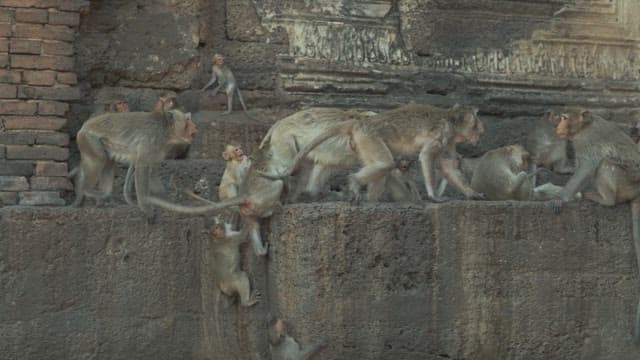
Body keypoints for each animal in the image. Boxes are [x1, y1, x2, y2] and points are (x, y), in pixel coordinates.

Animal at [70, 107, 198, 219]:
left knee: (109, 161)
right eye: (187, 119)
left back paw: (101, 198)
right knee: (99, 159)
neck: (165, 129)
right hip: (89, 139)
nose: (194, 125)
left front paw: (165, 199)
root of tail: (84, 126)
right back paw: (89, 190)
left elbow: (149, 169)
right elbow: (142, 166)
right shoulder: (151, 140)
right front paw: (146, 207)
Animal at [548, 107, 640, 344]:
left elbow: (587, 166)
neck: (584, 126)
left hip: (625, 184)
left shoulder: (586, 141)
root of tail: (638, 192)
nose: (557, 126)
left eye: (564, 117)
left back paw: (604, 199)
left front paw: (561, 197)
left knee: (605, 164)